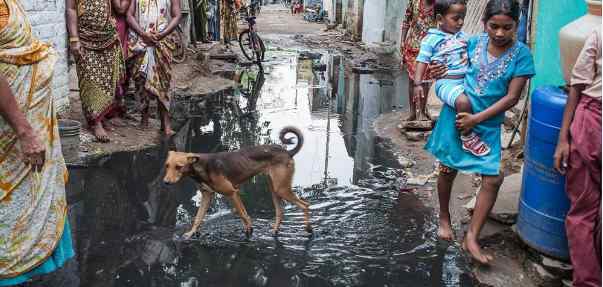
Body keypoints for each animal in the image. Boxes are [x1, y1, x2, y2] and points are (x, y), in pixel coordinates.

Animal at [163, 127, 312, 240]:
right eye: (167, 165)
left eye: (178, 167)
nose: (165, 182)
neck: (201, 166)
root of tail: (288, 152)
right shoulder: (207, 196)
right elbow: (198, 218)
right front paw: (190, 234)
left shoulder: (232, 193)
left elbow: (243, 214)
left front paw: (249, 231)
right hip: (274, 188)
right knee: (280, 212)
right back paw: (275, 232)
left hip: (281, 189)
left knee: (305, 205)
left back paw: (309, 230)